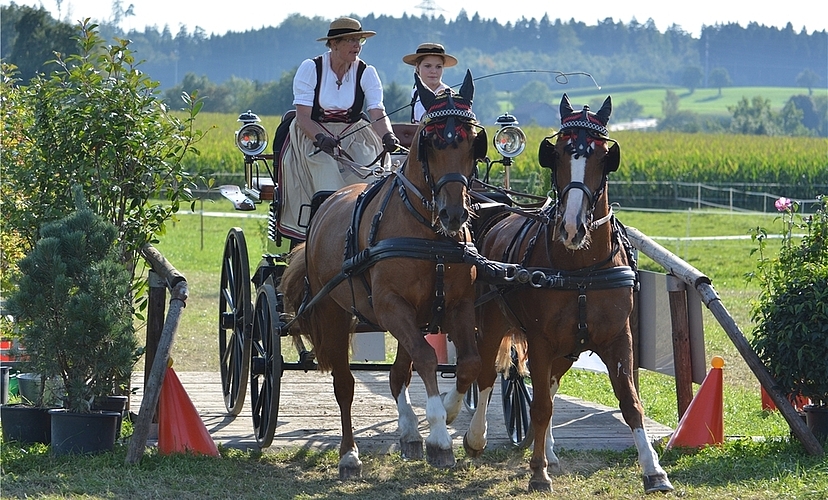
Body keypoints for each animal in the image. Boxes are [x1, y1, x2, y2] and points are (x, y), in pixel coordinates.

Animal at [280, 72, 486, 478]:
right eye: (431, 143)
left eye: (474, 144)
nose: (454, 213)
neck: (429, 234)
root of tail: (329, 199)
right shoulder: (391, 306)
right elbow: (425, 358)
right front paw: (439, 437)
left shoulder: (457, 305)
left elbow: (467, 363)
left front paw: (447, 413)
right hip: (334, 312)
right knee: (344, 384)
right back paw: (349, 455)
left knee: (398, 373)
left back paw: (409, 433)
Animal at [466, 95, 672, 494]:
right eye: (558, 154)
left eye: (603, 156)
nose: (573, 227)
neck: (580, 269)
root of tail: (496, 214)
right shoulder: (541, 340)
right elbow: (541, 405)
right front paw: (537, 472)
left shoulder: (617, 338)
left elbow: (630, 402)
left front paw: (653, 470)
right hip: (494, 323)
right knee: (486, 375)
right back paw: (476, 438)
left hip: (568, 348)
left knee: (548, 382)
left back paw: (548, 449)